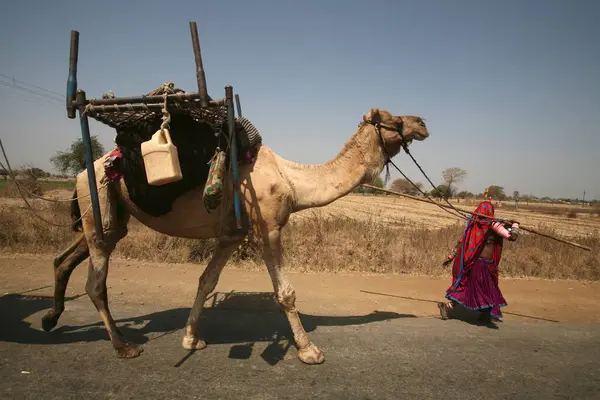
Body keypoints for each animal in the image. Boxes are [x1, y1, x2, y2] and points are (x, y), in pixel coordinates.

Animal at [41, 108, 426, 364]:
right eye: (393, 119)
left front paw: (191, 339)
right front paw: (308, 350)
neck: (292, 180)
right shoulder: (267, 227)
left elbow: (206, 281)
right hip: (97, 203)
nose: (423, 123)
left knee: (66, 258)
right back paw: (123, 346)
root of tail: (81, 172)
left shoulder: (231, 235)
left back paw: (51, 318)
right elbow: (285, 293)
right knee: (95, 283)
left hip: (108, 216)